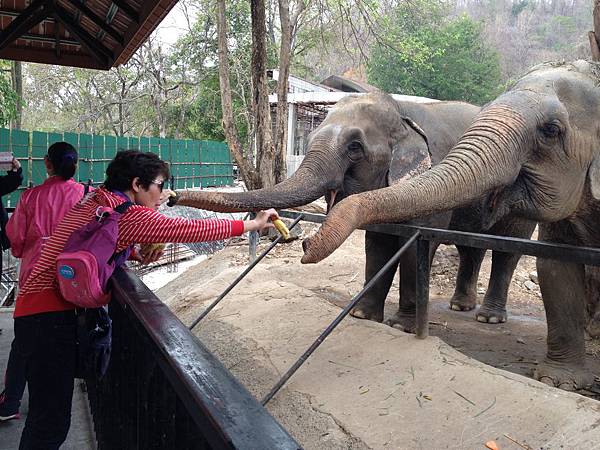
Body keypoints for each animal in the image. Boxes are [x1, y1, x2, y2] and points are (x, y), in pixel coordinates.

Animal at [302, 60, 600, 390]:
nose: (304, 243)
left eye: (354, 147)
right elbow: (377, 244)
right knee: (470, 247)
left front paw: (400, 327)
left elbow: (416, 247)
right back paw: (460, 306)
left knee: (506, 251)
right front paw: (362, 316)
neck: (402, 110)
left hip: (521, 213)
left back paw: (488, 318)